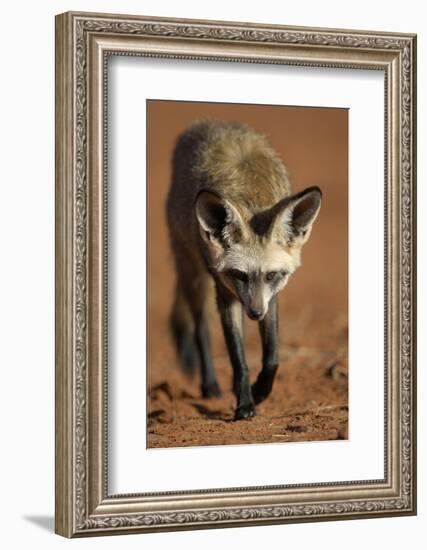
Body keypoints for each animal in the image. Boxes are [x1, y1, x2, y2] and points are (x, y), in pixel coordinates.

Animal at [166, 122, 320, 422]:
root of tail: (205, 124)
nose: (255, 313)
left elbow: (272, 357)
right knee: (200, 328)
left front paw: (260, 391)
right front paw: (245, 404)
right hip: (193, 275)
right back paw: (210, 385)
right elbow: (238, 359)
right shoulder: (225, 292)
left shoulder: (271, 296)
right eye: (239, 275)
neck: (251, 195)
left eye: (272, 275)